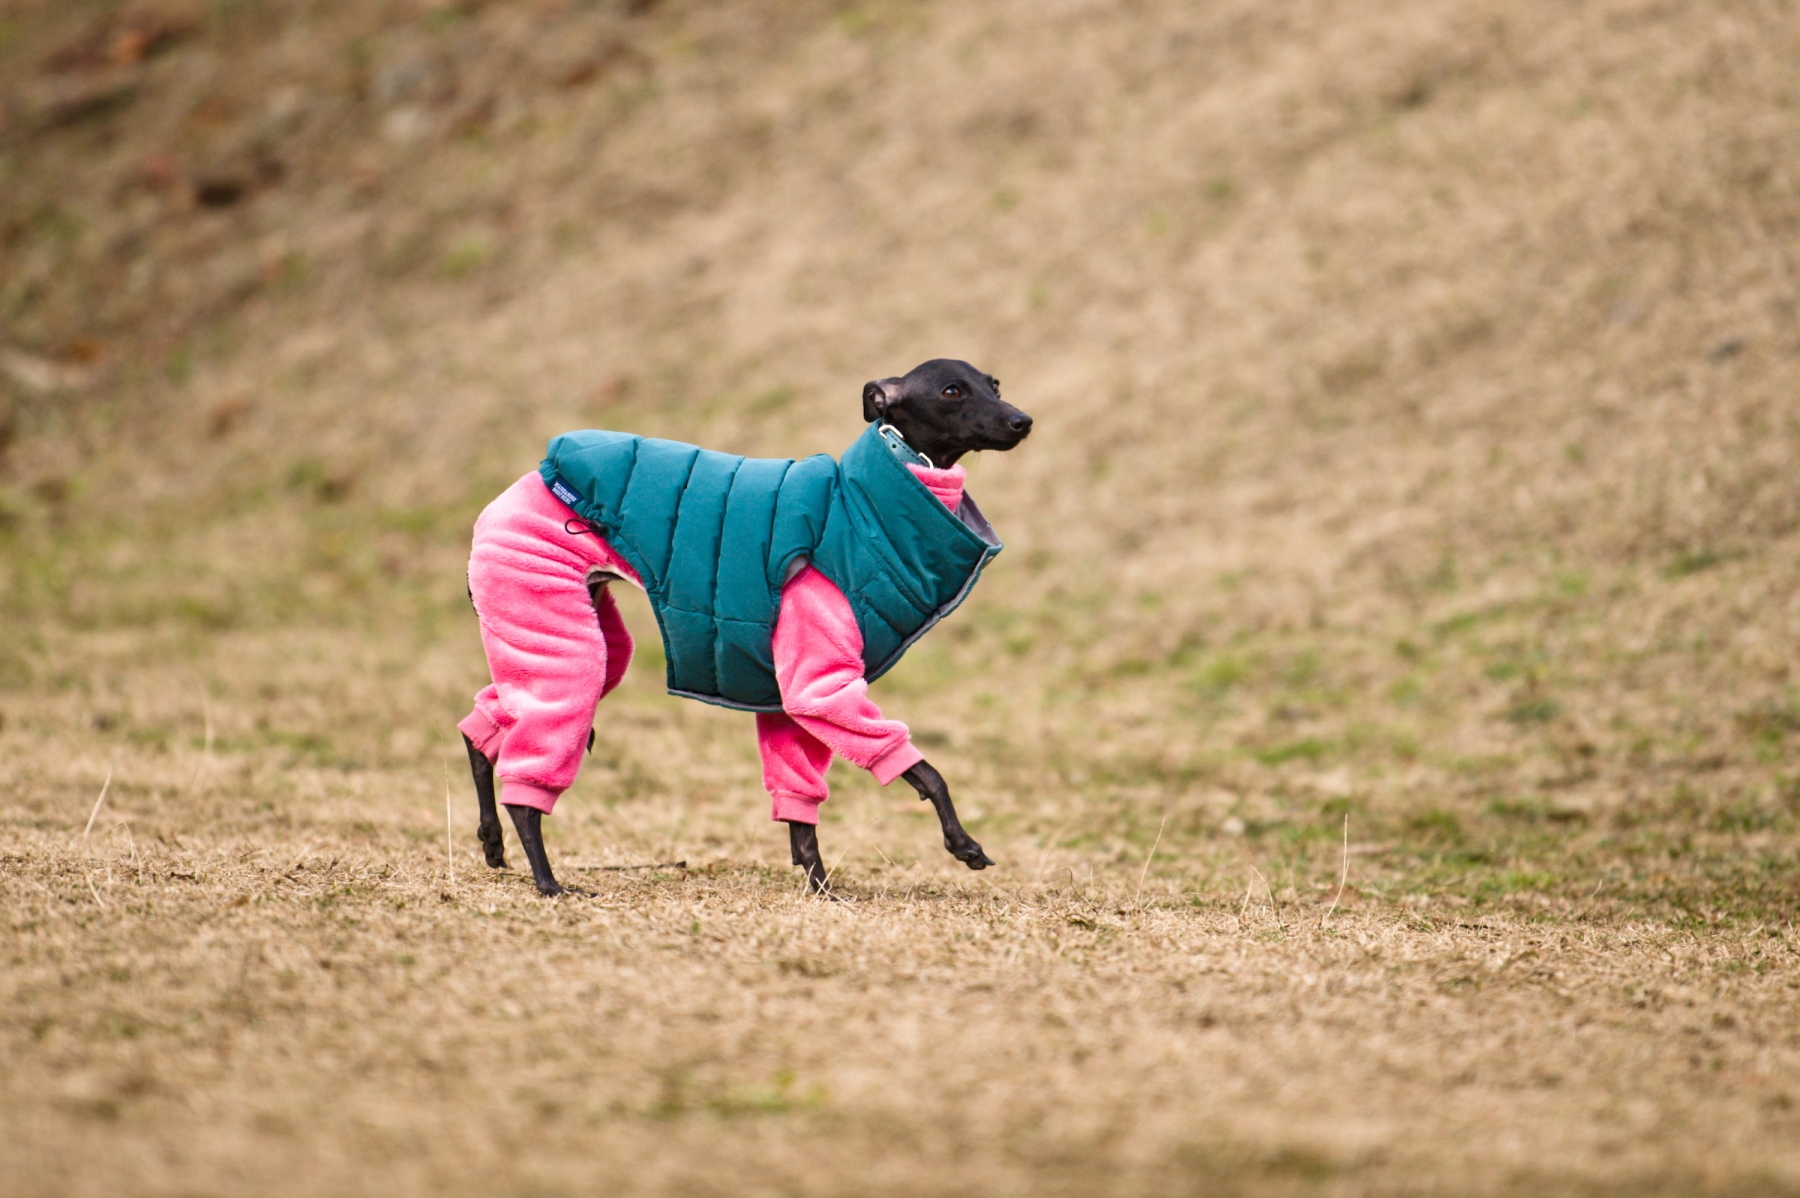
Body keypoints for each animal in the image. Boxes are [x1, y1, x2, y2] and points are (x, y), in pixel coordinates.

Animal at [460, 359, 1032, 895]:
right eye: (952, 391)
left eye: (995, 385)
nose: (1022, 421)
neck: (862, 506)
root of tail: (515, 490)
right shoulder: (819, 686)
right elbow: (925, 770)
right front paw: (962, 843)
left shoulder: (789, 699)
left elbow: (800, 807)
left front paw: (819, 887)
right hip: (561, 637)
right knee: (529, 777)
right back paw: (548, 881)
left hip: (581, 637)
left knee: (486, 723)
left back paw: (491, 839)